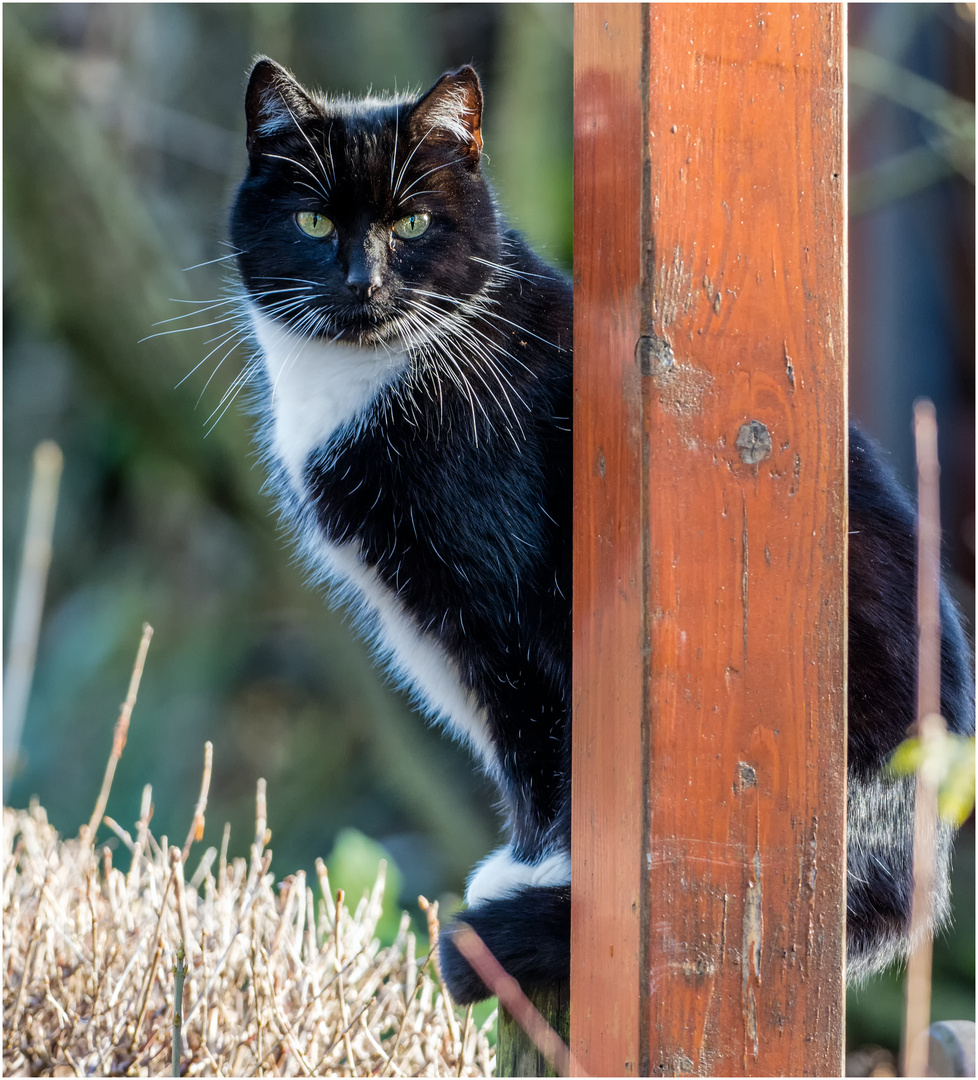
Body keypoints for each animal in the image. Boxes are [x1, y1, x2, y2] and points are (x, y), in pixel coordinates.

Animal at [226, 59, 967, 1002]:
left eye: (415, 222)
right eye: (315, 222)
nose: (365, 284)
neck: (373, 381)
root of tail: (918, 867)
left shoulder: (515, 611)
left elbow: (540, 733)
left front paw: (539, 872)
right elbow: (516, 739)